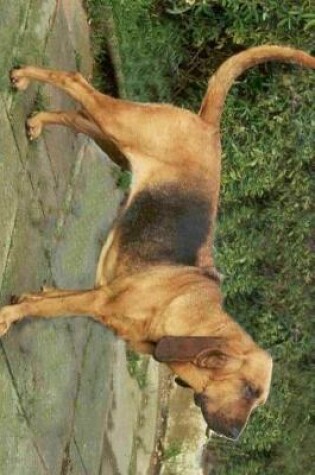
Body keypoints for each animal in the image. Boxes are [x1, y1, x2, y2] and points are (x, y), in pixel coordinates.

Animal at [1, 46, 314, 440]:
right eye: (247, 390)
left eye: (258, 401)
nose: (233, 435)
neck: (182, 310)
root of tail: (208, 126)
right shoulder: (98, 301)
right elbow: (42, 309)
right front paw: (7, 317)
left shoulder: (95, 296)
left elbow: (45, 300)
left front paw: (22, 302)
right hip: (121, 125)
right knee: (75, 81)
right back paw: (23, 77)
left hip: (113, 142)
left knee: (75, 114)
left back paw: (38, 121)